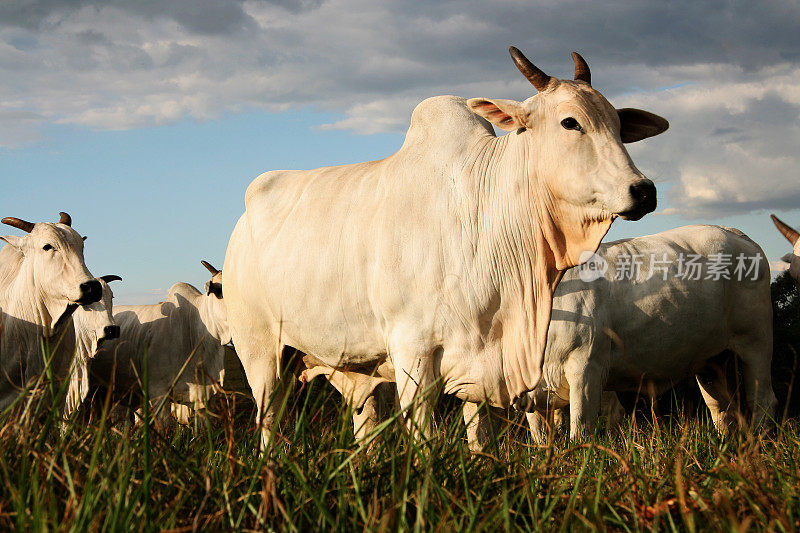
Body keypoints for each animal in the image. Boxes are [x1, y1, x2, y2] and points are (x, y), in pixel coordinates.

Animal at [225, 46, 668, 444]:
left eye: (618, 125)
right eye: (570, 122)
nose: (644, 191)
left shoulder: (479, 359)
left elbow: (479, 435)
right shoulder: (412, 352)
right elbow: (423, 438)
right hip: (260, 351)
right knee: (268, 423)